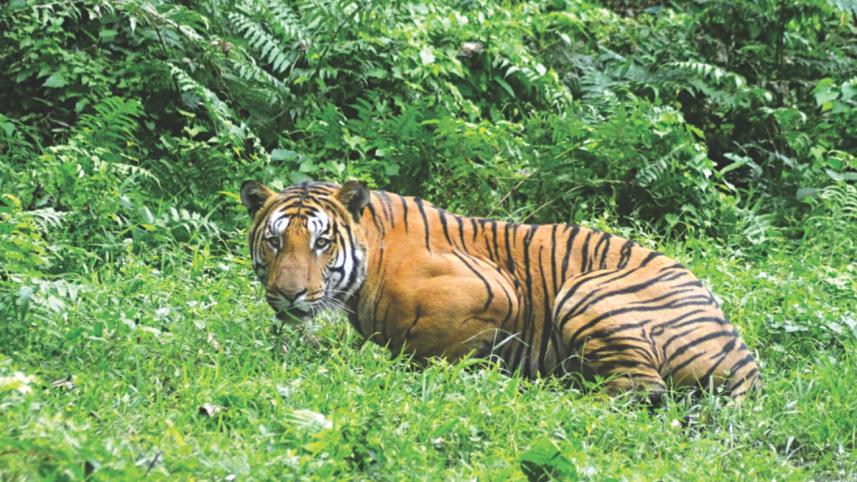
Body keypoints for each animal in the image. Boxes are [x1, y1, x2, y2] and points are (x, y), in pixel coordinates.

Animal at [240, 180, 760, 402]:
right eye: (275, 240)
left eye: (321, 242)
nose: (288, 293)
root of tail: (745, 360)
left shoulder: (496, 291)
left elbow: (424, 346)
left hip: (585, 291)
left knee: (640, 390)